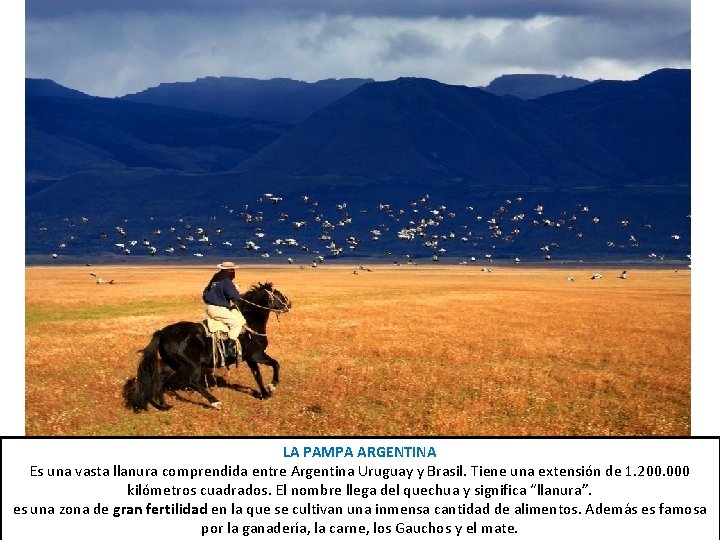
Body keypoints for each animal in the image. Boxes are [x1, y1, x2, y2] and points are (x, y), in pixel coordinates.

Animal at [126, 282, 290, 410]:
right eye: (278, 294)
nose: (289, 304)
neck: (250, 321)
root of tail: (163, 332)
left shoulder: (251, 358)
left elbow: (258, 375)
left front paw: (265, 393)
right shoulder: (256, 355)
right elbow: (274, 365)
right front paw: (271, 387)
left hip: (171, 364)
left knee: (161, 379)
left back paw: (163, 405)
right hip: (192, 364)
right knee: (193, 382)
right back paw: (215, 402)